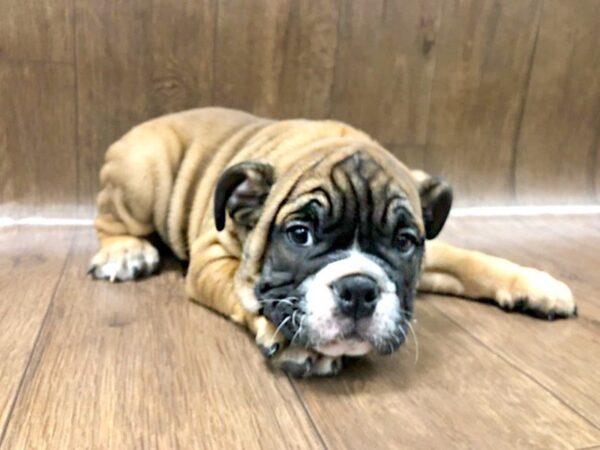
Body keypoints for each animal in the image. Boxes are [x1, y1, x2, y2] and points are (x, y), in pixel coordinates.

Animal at [86, 108, 576, 376]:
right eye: (300, 235)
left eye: (404, 243)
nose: (358, 289)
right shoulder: (211, 259)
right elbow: (245, 296)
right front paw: (295, 342)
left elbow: (471, 261)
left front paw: (537, 285)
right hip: (143, 171)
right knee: (110, 218)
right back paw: (126, 252)